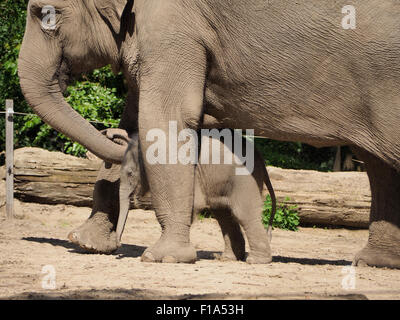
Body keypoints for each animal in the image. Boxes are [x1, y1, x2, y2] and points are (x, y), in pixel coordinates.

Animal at [104, 129, 276, 264]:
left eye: (130, 173)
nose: (117, 245)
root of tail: (261, 158)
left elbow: (193, 203)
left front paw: (165, 256)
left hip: (245, 179)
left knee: (243, 213)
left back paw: (255, 260)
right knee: (223, 214)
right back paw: (226, 258)